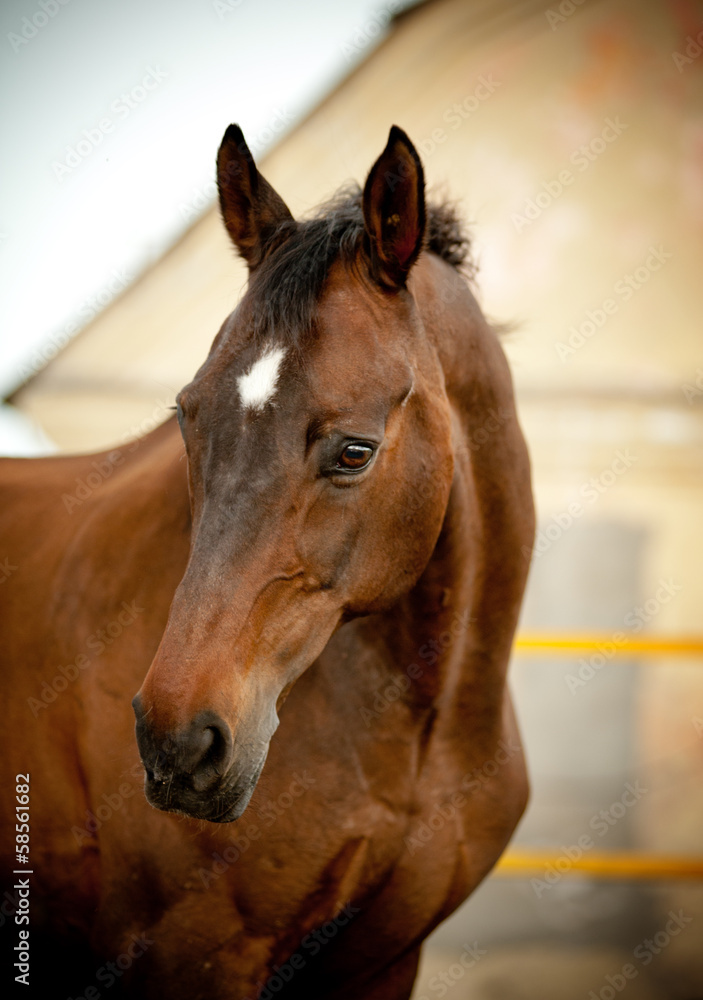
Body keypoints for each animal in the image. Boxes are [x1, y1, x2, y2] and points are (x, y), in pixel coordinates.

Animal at [0, 124, 534, 999]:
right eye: (187, 416)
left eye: (354, 451)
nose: (178, 744)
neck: (417, 740)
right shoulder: (196, 962)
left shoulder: (382, 966)